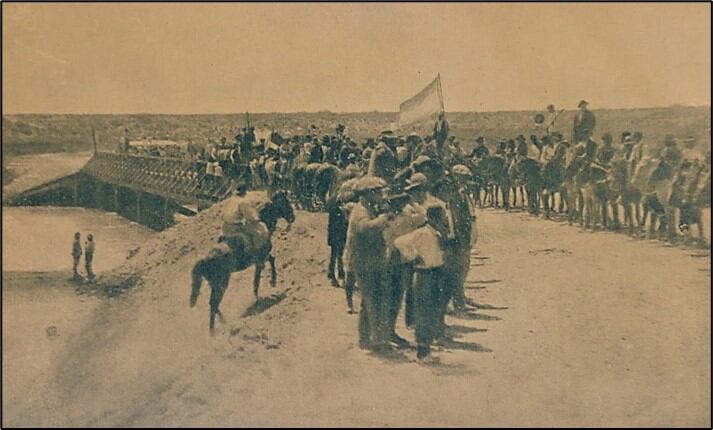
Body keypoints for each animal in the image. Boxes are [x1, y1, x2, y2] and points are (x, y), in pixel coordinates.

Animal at [189, 191, 294, 336]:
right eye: (285, 202)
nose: (293, 217)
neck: (262, 221)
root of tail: (205, 259)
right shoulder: (259, 260)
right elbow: (257, 280)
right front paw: (261, 294)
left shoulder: (261, 259)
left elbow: (271, 260)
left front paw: (271, 284)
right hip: (221, 284)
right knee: (214, 304)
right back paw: (214, 331)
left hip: (214, 284)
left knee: (213, 304)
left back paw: (223, 322)